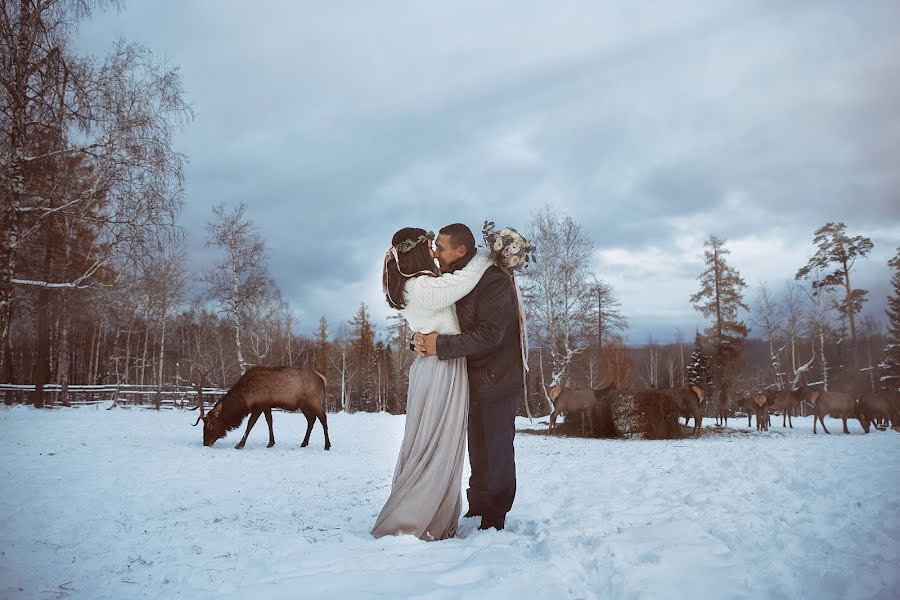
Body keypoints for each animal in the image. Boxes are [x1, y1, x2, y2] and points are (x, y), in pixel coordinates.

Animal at [192, 366, 330, 450]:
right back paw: (304, 443)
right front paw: (271, 442)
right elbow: (270, 422)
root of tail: (323, 378)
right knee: (311, 420)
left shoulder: (259, 405)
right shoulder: (266, 405)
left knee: (323, 418)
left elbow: (250, 424)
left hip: (314, 401)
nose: (205, 443)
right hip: (304, 405)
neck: (246, 398)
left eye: (210, 425)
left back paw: (327, 445)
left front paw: (240, 444)